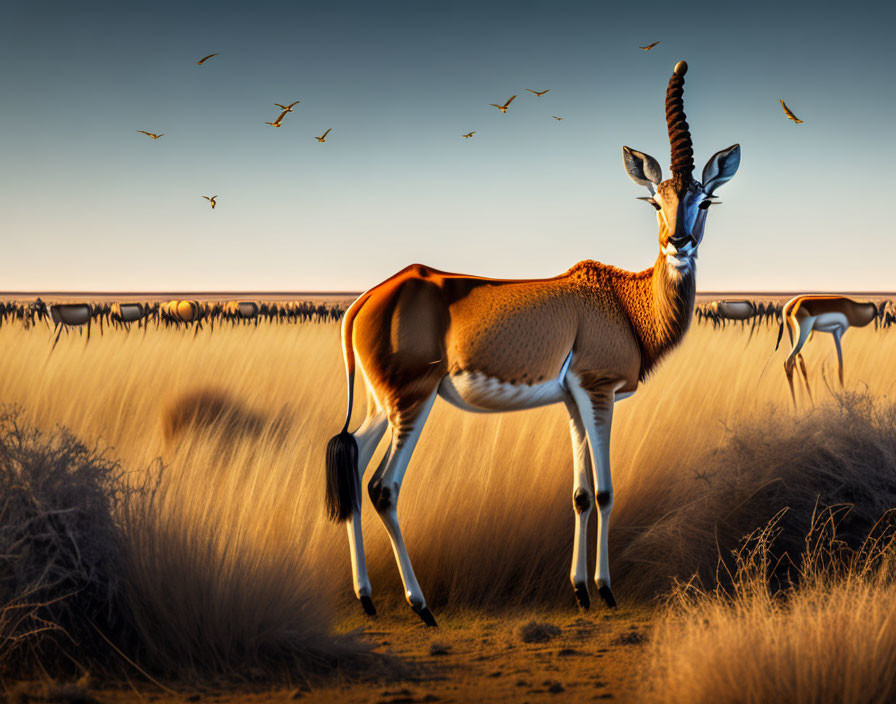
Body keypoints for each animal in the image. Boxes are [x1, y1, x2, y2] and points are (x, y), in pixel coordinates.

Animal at [326, 59, 740, 620]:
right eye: (655, 199)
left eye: (706, 198)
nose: (679, 243)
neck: (623, 300)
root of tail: (367, 298)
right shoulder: (598, 391)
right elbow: (605, 491)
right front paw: (606, 591)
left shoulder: (573, 400)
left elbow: (581, 494)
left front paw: (581, 590)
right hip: (413, 402)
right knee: (383, 488)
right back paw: (421, 606)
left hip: (379, 406)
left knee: (353, 471)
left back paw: (367, 599)